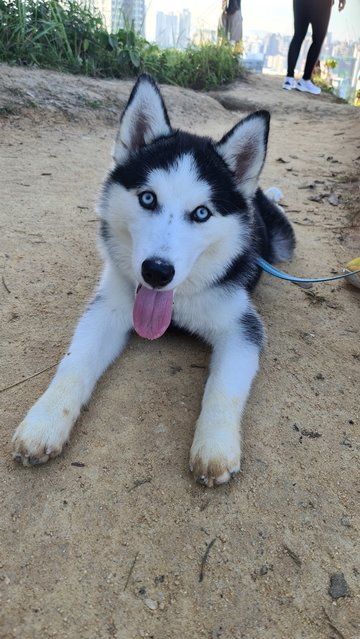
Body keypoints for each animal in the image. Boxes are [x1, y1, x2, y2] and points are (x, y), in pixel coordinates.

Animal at [12, 74, 294, 484]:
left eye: (202, 213)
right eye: (147, 198)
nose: (157, 272)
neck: (177, 301)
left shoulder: (242, 327)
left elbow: (223, 388)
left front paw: (215, 446)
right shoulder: (108, 308)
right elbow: (74, 363)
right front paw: (44, 421)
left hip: (283, 244)